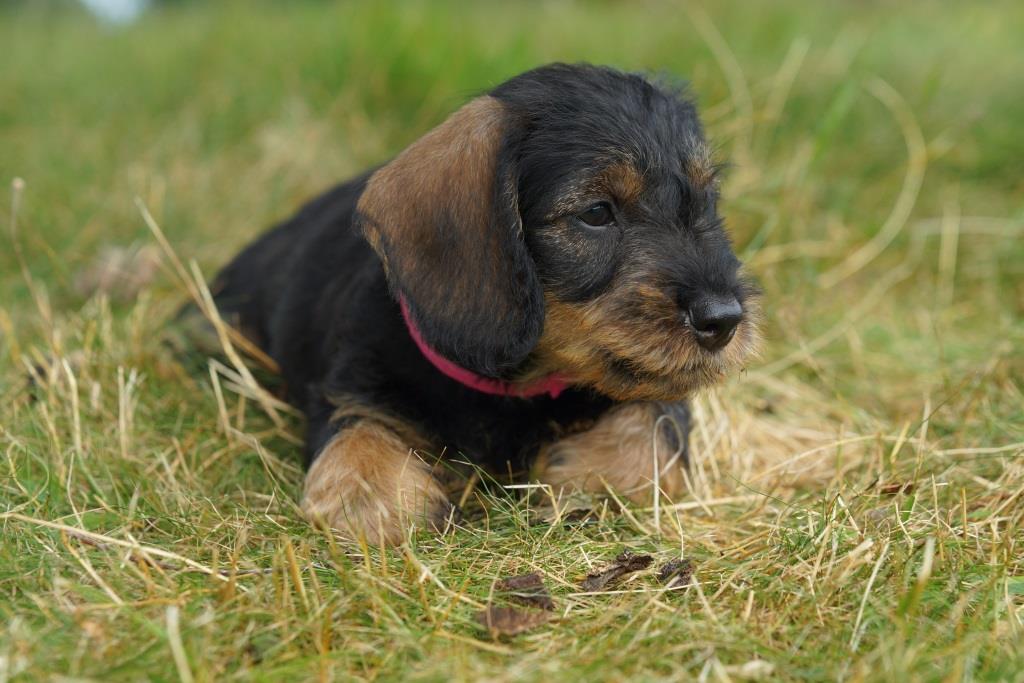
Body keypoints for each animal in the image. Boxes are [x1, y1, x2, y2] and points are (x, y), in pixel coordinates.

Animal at [202, 63, 760, 545]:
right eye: (597, 213)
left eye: (706, 201)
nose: (724, 320)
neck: (514, 386)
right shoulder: (352, 385)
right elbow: (357, 437)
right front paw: (375, 500)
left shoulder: (659, 394)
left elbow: (653, 431)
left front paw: (581, 475)